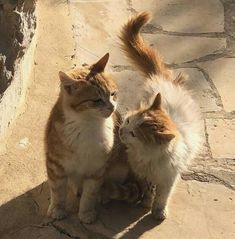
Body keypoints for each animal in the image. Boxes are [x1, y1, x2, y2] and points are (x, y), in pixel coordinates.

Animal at [118, 11, 203, 220]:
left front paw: (159, 211)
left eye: (134, 134)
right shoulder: (142, 173)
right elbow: (148, 189)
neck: (149, 157)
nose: (121, 130)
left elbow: (163, 194)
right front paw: (147, 203)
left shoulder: (169, 176)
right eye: (128, 121)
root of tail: (161, 78)